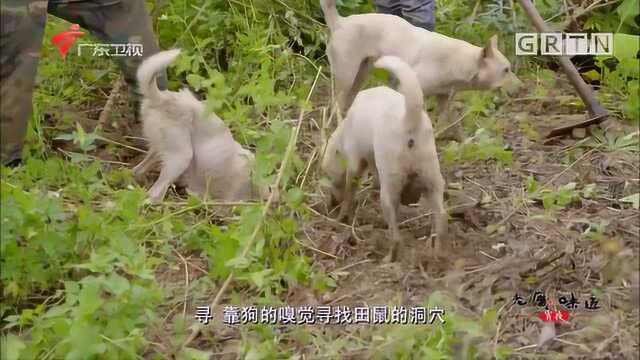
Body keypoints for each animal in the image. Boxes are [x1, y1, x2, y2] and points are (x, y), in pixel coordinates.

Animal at [320, 0, 520, 139]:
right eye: (506, 70)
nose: (522, 87)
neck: (457, 62)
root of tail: (339, 22)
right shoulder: (407, 89)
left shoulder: (444, 97)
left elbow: (451, 121)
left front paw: (461, 140)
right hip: (347, 76)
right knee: (335, 104)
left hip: (360, 75)